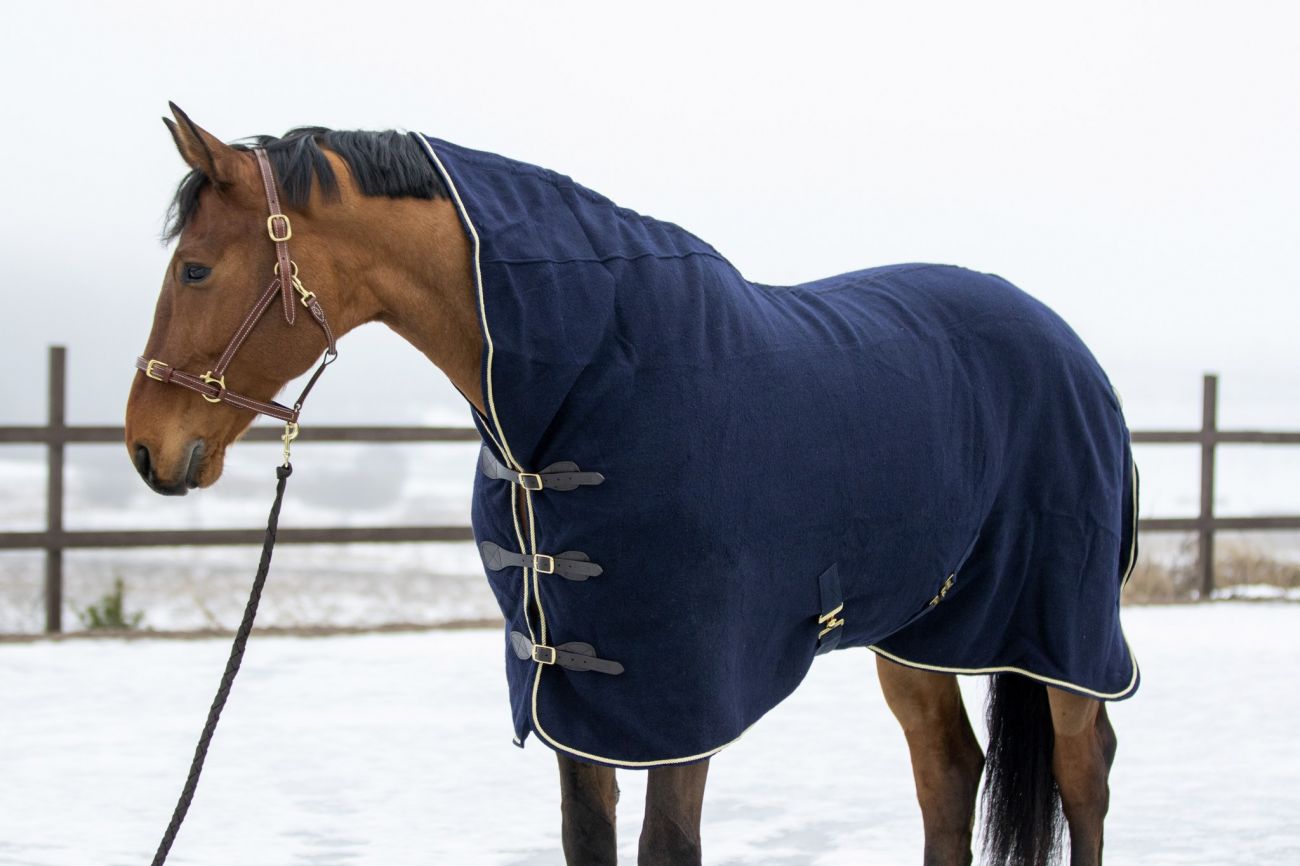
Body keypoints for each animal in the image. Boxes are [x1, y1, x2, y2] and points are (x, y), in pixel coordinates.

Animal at [125, 104, 1138, 866]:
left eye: (197, 267)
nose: (145, 447)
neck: (592, 380)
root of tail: (1069, 344)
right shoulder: (575, 693)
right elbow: (587, 837)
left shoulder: (679, 693)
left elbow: (666, 847)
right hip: (920, 627)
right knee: (949, 773)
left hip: (1061, 626)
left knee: (1084, 772)